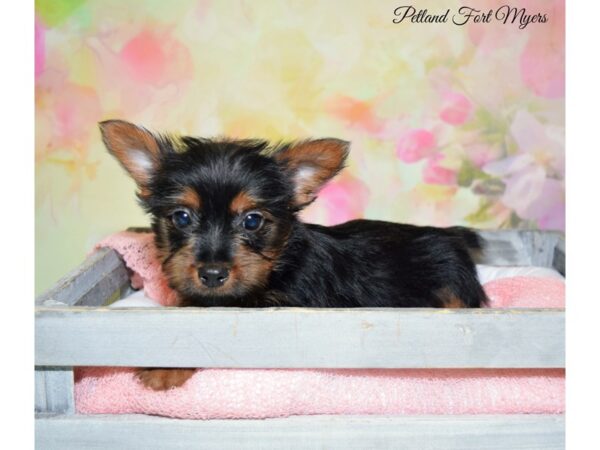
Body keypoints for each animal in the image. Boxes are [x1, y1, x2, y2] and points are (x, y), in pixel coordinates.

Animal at [98, 121, 488, 388]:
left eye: (252, 220)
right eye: (181, 217)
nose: (211, 274)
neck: (279, 264)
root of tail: (450, 235)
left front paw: (166, 366)